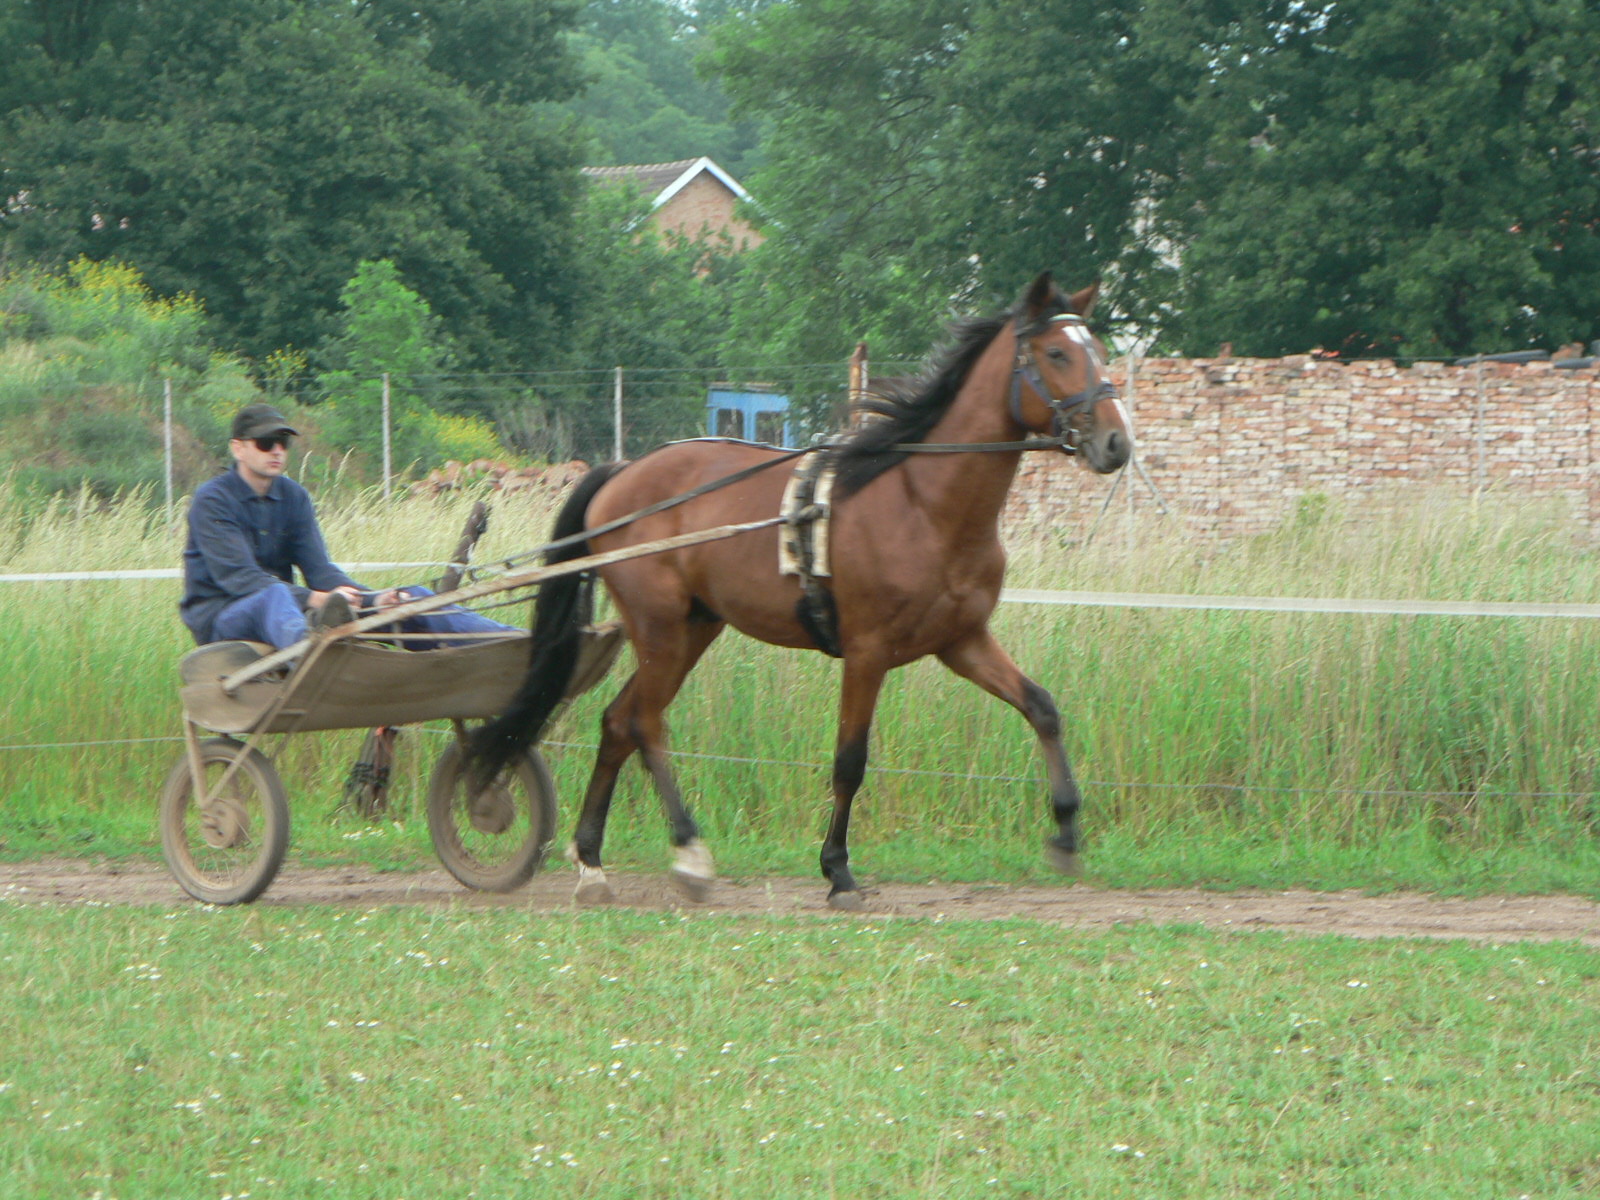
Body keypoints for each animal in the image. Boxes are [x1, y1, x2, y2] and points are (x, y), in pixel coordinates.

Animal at [467, 272, 1132, 908]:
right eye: (1055, 352)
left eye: (1099, 351)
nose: (1117, 442)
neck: (922, 501)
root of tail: (623, 472)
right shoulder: (867, 652)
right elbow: (849, 761)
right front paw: (838, 871)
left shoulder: (962, 641)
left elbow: (1042, 707)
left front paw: (1066, 831)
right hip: (658, 625)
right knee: (646, 723)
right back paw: (688, 851)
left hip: (693, 628)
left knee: (619, 721)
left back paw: (592, 861)